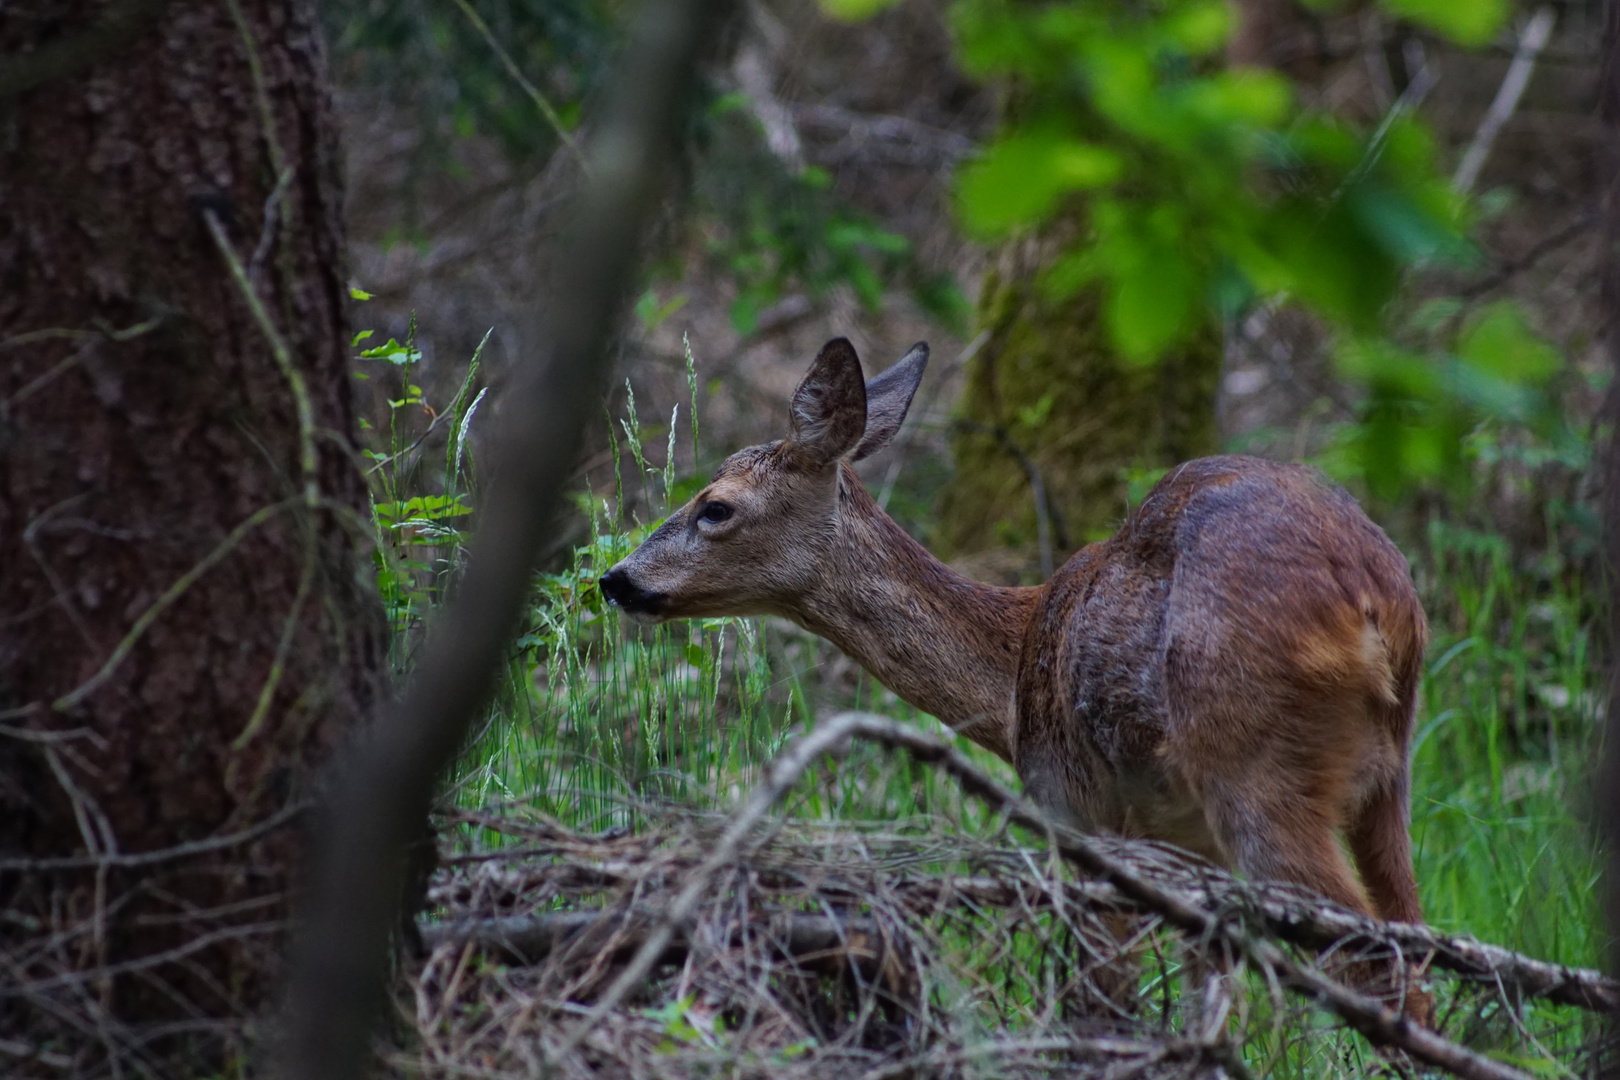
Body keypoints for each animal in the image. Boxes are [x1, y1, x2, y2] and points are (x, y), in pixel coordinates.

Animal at [599, 340, 1432, 1016]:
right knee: (1413, 940)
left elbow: (1101, 996)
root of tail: (1374, 598)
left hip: (1251, 762)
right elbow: (1210, 995)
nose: (615, 577)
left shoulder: (1075, 807)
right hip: (1385, 781)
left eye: (716, 508)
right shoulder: (1186, 849)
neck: (1011, 675)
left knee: (1374, 960)